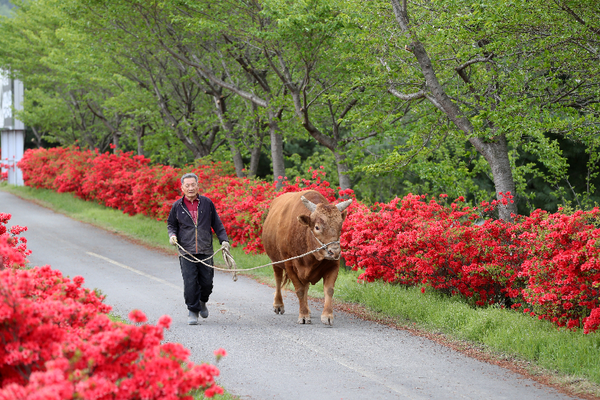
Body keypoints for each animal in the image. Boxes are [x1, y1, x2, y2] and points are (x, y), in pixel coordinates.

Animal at [262, 190, 352, 324]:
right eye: (317, 227)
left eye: (340, 226)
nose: (335, 251)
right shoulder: (290, 265)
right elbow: (299, 290)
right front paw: (303, 315)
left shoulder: (333, 265)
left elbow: (329, 289)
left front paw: (327, 315)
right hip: (275, 261)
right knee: (278, 279)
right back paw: (278, 305)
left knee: (305, 286)